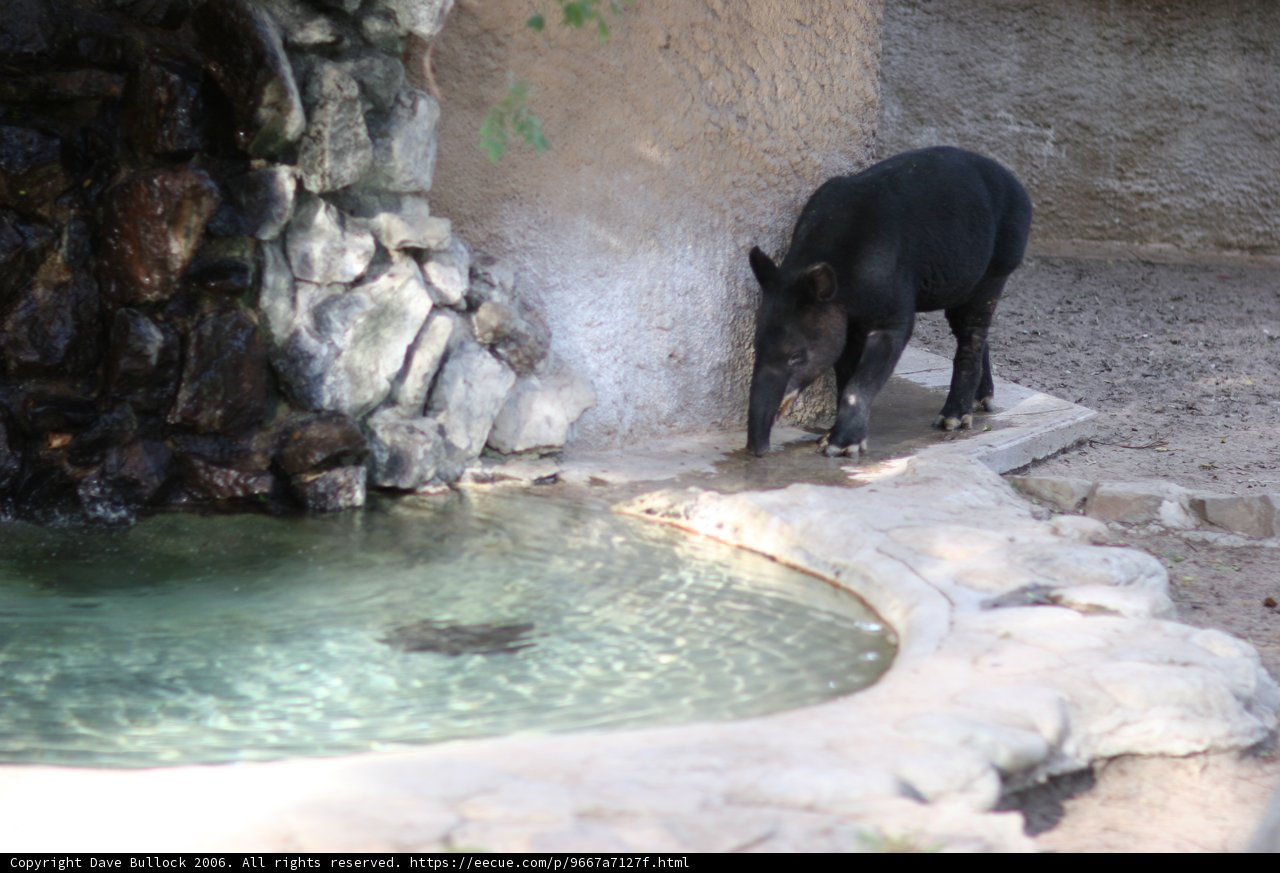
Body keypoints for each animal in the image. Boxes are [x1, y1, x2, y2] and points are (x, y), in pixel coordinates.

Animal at [746, 146, 1032, 457]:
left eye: (797, 356)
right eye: (756, 346)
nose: (757, 447)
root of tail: (1016, 184)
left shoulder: (890, 307)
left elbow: (864, 377)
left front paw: (842, 445)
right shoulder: (843, 319)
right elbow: (846, 372)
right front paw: (832, 434)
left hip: (998, 262)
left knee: (972, 331)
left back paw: (954, 417)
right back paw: (983, 398)